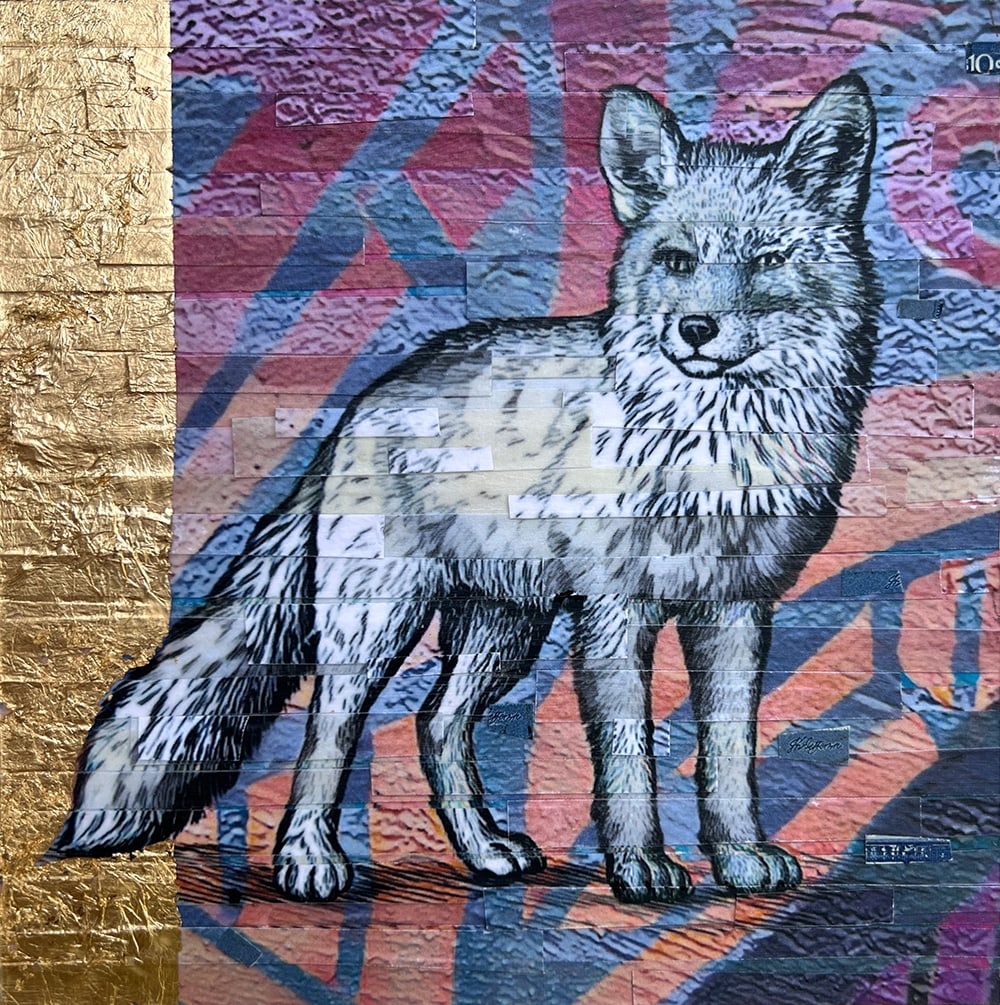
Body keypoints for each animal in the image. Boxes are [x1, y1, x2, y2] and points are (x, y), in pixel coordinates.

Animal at [46, 74, 879, 905]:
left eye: (768, 258)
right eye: (676, 260)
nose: (697, 329)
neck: (713, 446)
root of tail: (366, 399)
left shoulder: (736, 607)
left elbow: (731, 752)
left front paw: (739, 856)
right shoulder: (615, 611)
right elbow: (627, 757)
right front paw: (640, 864)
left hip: (504, 627)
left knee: (435, 723)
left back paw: (482, 848)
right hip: (379, 618)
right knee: (329, 723)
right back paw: (309, 858)